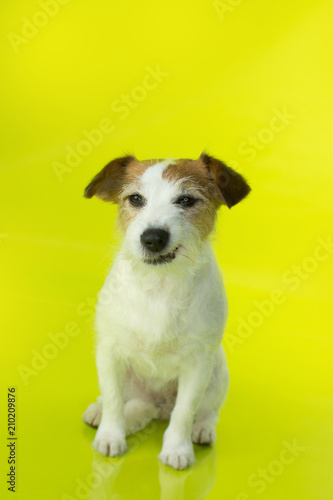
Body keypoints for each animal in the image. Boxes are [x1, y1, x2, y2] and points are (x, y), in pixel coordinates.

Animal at [82, 152, 249, 468]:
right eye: (135, 199)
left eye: (186, 200)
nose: (153, 237)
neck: (160, 284)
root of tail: (156, 405)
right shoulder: (109, 351)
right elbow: (113, 399)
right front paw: (110, 436)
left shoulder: (198, 364)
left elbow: (184, 411)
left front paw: (177, 449)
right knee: (121, 400)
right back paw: (99, 411)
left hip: (218, 372)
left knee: (206, 411)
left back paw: (202, 429)